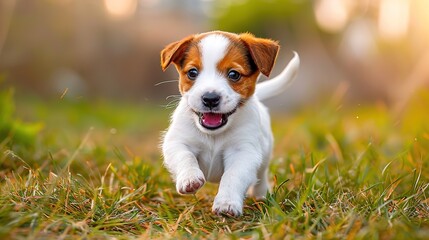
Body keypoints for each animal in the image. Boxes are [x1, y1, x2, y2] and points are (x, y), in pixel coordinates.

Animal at [160, 31, 298, 217]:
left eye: (234, 74)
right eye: (192, 73)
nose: (210, 98)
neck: (214, 134)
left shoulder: (244, 152)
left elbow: (232, 176)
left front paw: (227, 203)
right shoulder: (177, 142)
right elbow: (185, 157)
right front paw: (190, 178)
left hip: (265, 156)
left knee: (261, 176)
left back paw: (262, 195)